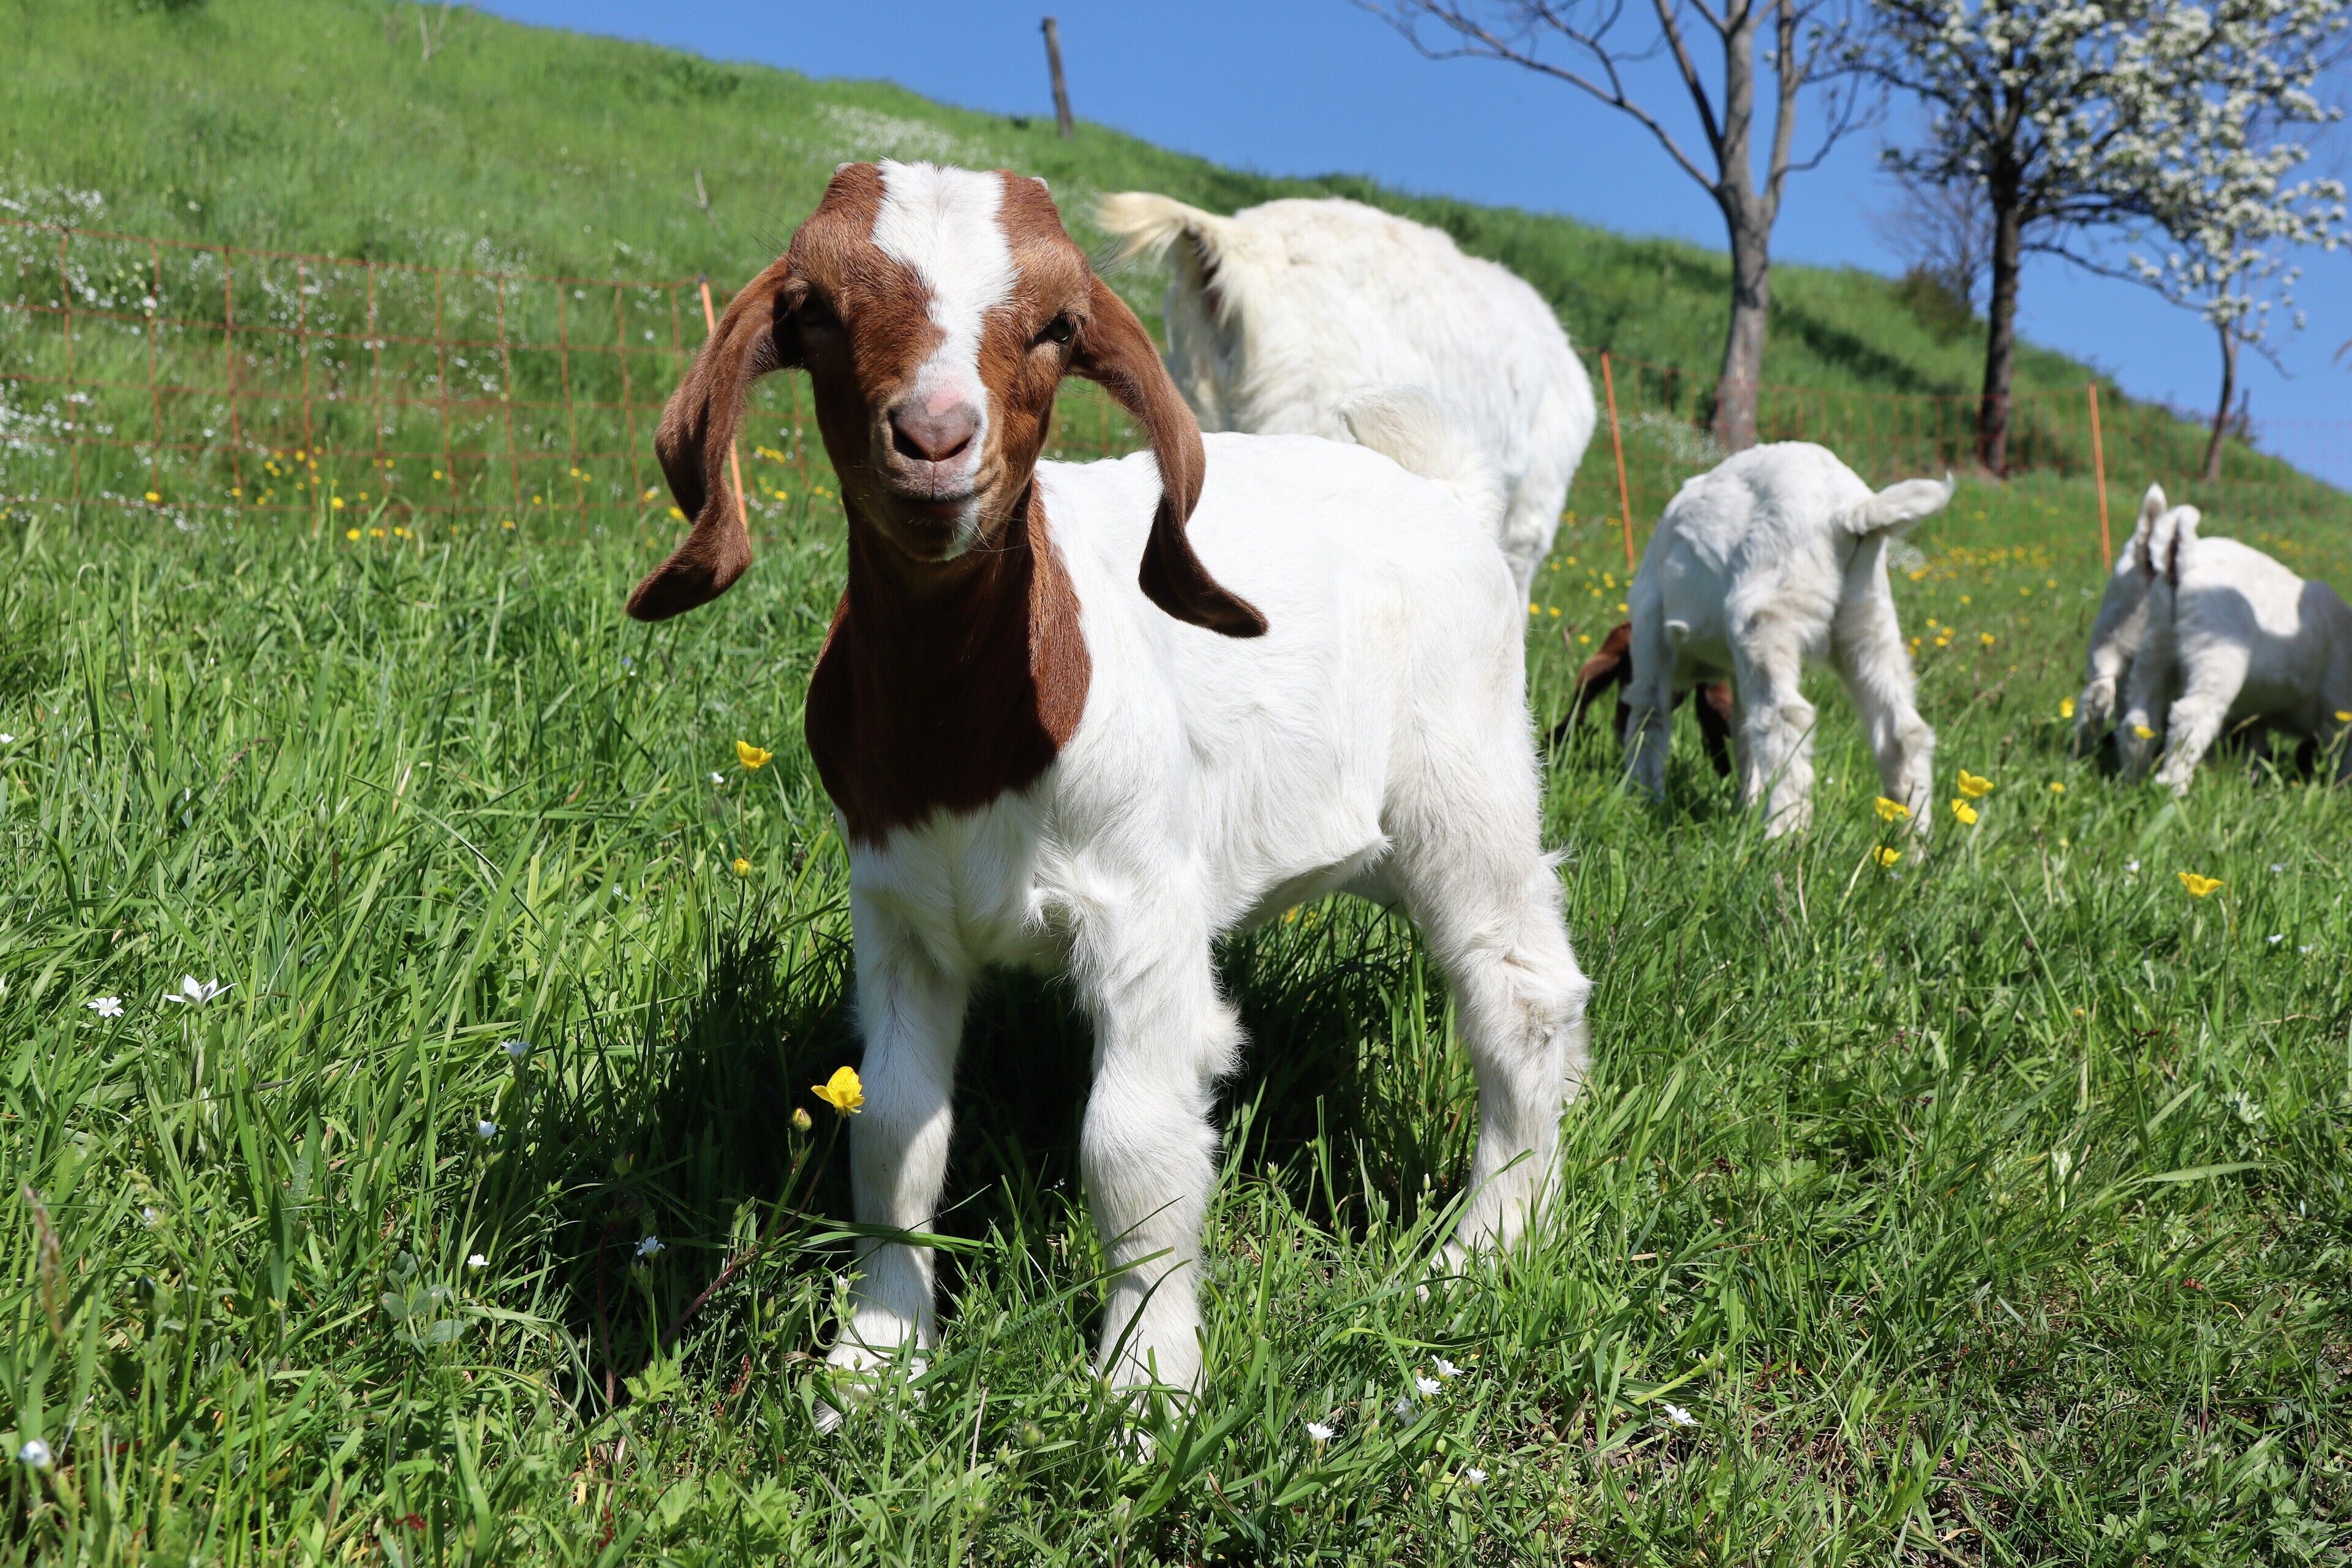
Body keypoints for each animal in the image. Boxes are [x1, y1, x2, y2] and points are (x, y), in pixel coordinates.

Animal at [1619, 443, 1951, 836]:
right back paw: (1911, 839)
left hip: (1763, 617)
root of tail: (1849, 510)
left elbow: (1648, 715)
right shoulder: (1736, 673)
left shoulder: (1650, 630)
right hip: (1869, 621)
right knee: (1903, 733)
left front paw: (1641, 798)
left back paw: (1781, 835)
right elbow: (1743, 733)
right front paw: (1745, 804)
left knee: (1786, 717)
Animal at [2115, 503, 2352, 792]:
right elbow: (2342, 755)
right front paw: (2338, 789)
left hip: (2156, 648)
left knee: (2139, 721)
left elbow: (2256, 746)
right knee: (2191, 717)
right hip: (2216, 660)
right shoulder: (2338, 711)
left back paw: (2131, 783)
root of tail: (2187, 558)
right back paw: (2175, 789)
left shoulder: (2260, 715)